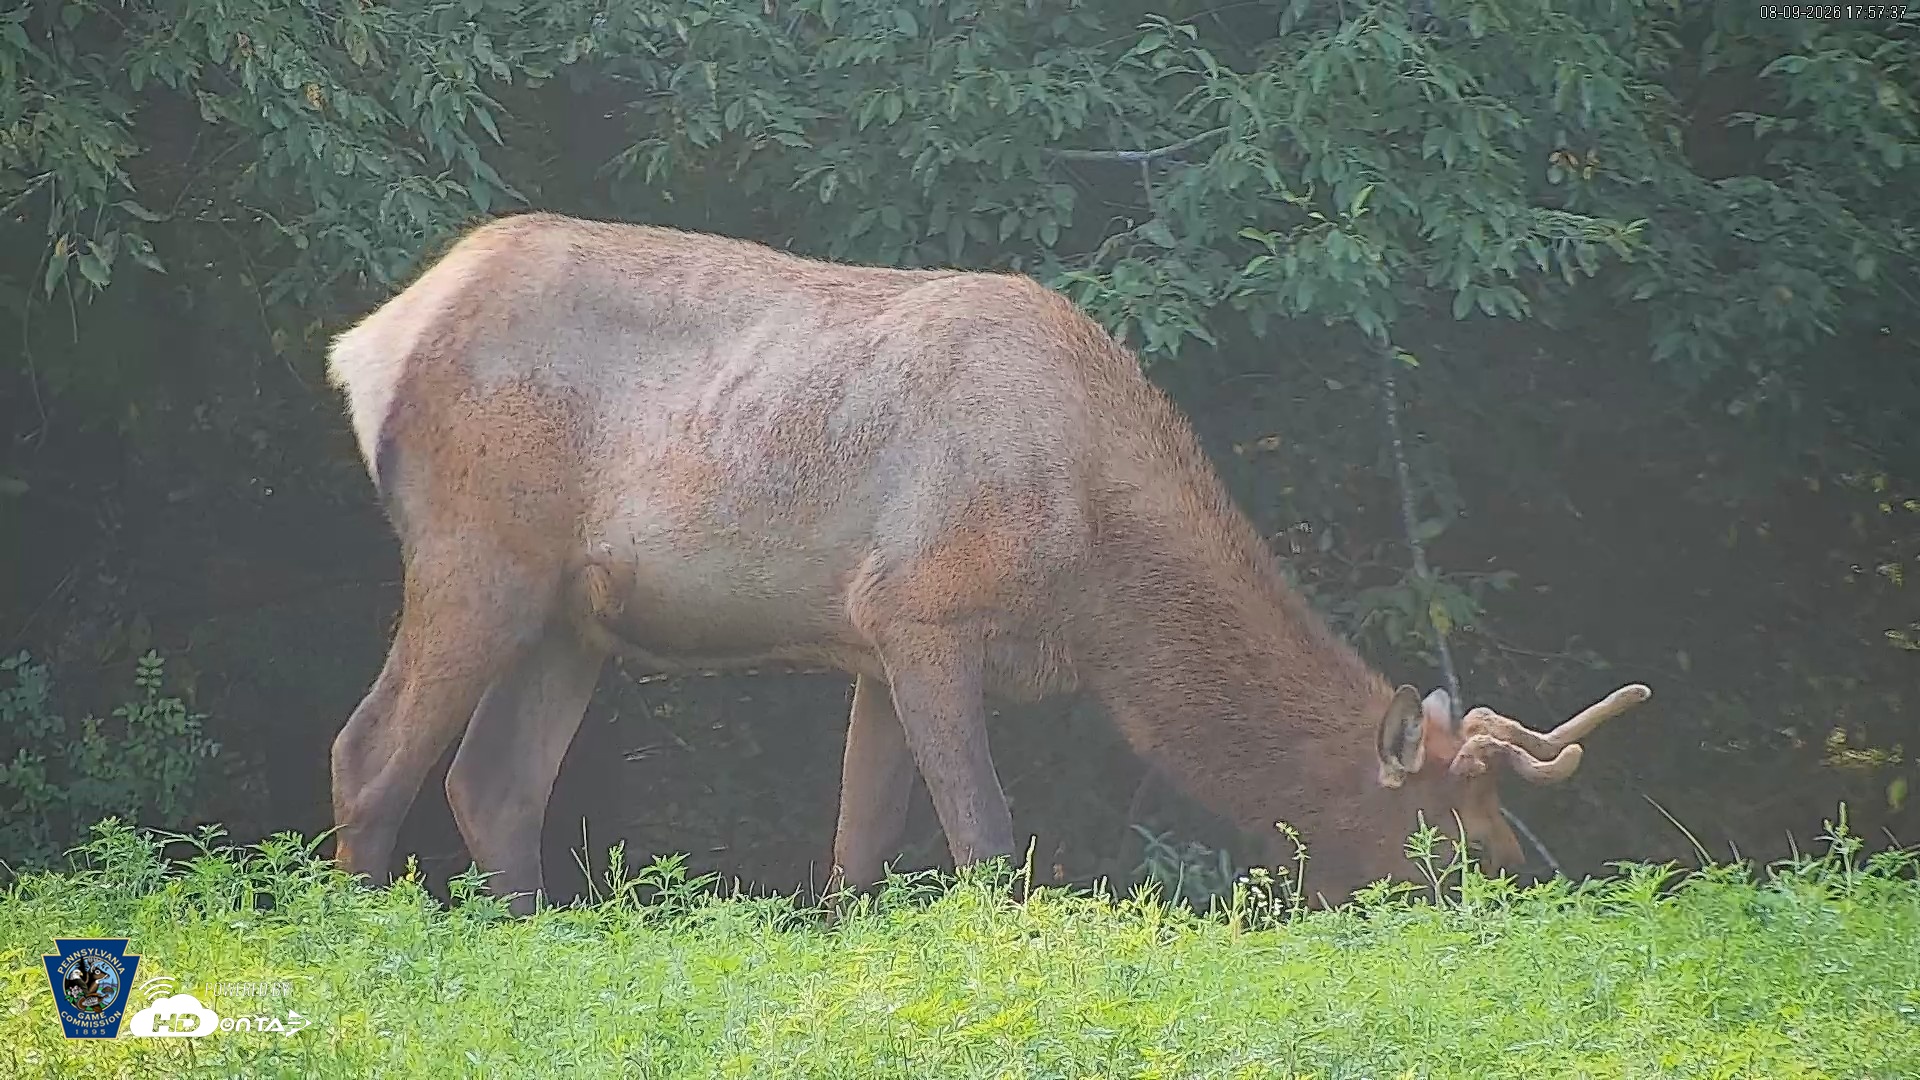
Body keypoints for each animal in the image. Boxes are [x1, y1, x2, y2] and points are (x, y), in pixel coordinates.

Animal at [324, 211, 1650, 916]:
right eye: (1455, 847)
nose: (1528, 890)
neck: (1100, 596)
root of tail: (368, 343)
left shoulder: (871, 641)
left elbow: (859, 845)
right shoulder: (926, 610)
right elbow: (987, 838)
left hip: (570, 614)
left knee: (494, 783)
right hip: (477, 552)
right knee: (371, 748)